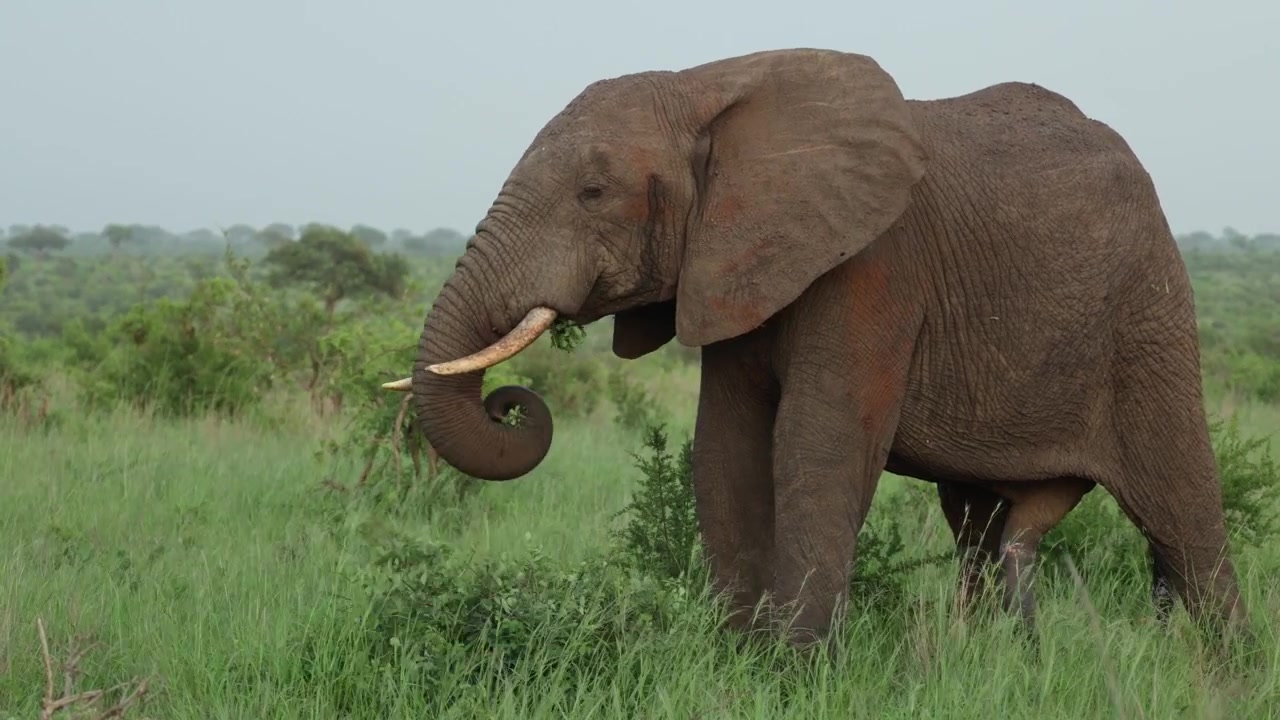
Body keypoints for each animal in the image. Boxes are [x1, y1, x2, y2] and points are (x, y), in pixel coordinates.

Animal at [381, 48, 1247, 646]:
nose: (511, 403)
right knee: (979, 526)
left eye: (594, 193)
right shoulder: (733, 261)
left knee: (1183, 512)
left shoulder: (874, 266)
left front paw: (791, 674)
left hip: (1148, 313)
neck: (711, 88)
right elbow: (725, 444)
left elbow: (817, 442)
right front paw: (736, 660)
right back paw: (993, 657)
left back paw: (1220, 675)